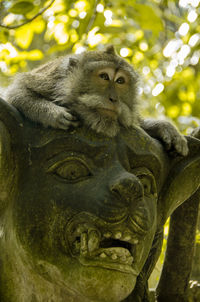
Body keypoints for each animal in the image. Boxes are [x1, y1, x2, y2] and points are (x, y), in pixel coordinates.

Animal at [4, 46, 188, 156]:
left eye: (120, 81)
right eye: (104, 76)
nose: (113, 98)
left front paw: (166, 129)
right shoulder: (51, 80)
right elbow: (17, 92)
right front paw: (55, 115)